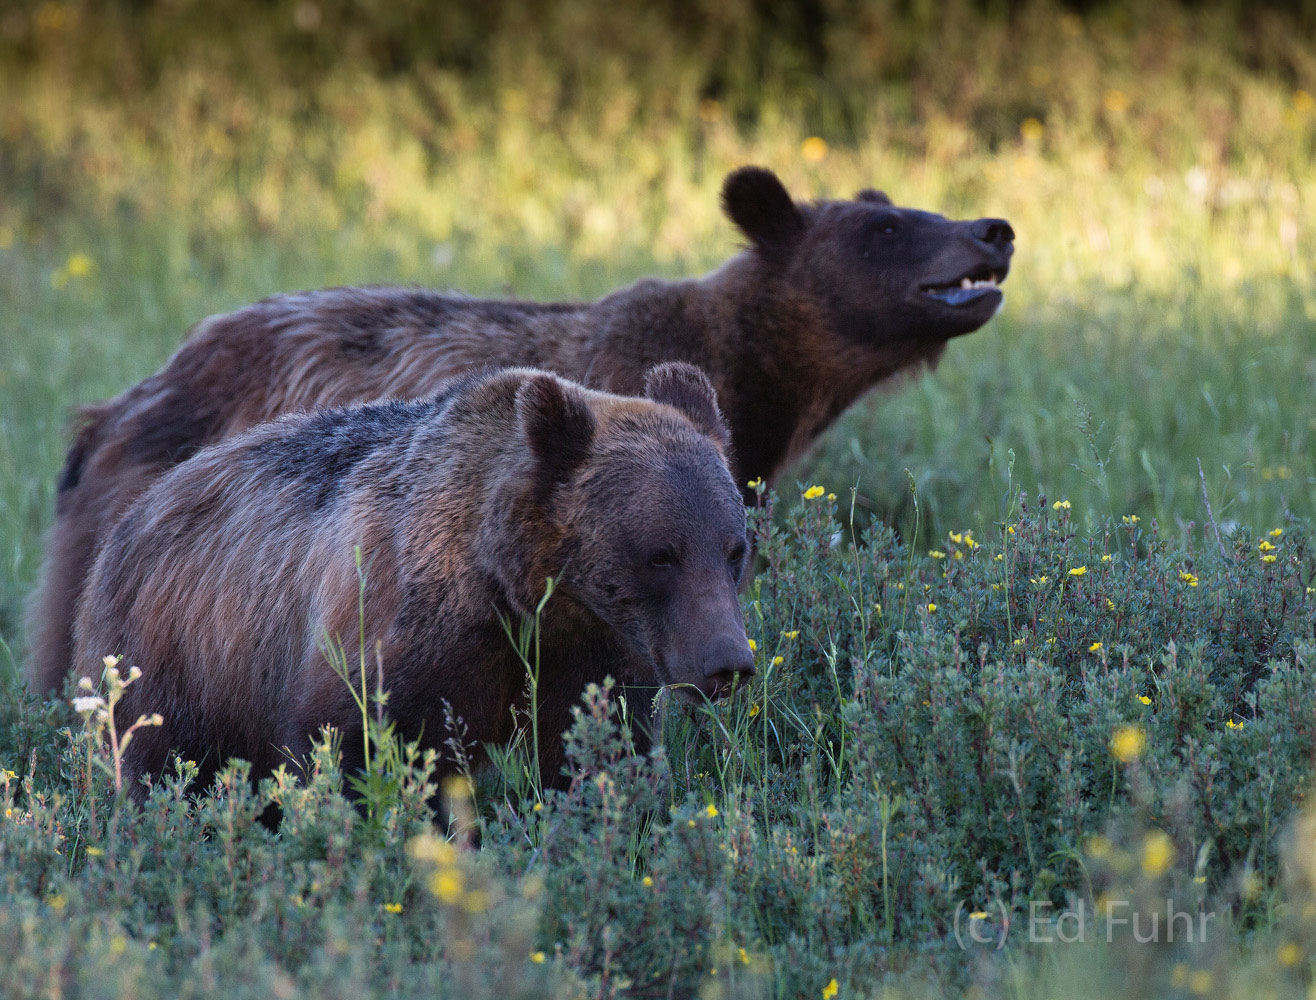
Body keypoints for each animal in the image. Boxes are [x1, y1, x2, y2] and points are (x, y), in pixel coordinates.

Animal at [72, 363, 758, 800]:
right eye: (661, 554)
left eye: (734, 549)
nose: (728, 662)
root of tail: (132, 515)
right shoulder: (400, 634)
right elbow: (361, 748)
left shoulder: (588, 657)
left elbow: (595, 752)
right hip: (186, 658)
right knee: (166, 763)